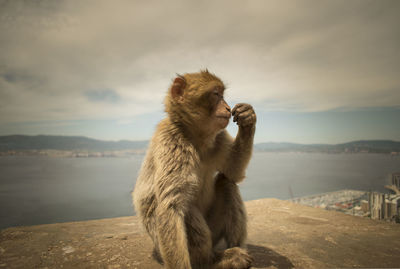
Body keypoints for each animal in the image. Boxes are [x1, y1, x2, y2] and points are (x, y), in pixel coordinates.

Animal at [132, 69, 256, 268]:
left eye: (222, 94)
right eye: (216, 94)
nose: (227, 108)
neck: (196, 138)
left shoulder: (219, 138)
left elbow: (233, 171)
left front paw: (248, 117)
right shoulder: (172, 141)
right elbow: (170, 206)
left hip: (215, 232)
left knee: (226, 183)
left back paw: (235, 248)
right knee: (186, 208)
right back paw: (213, 260)